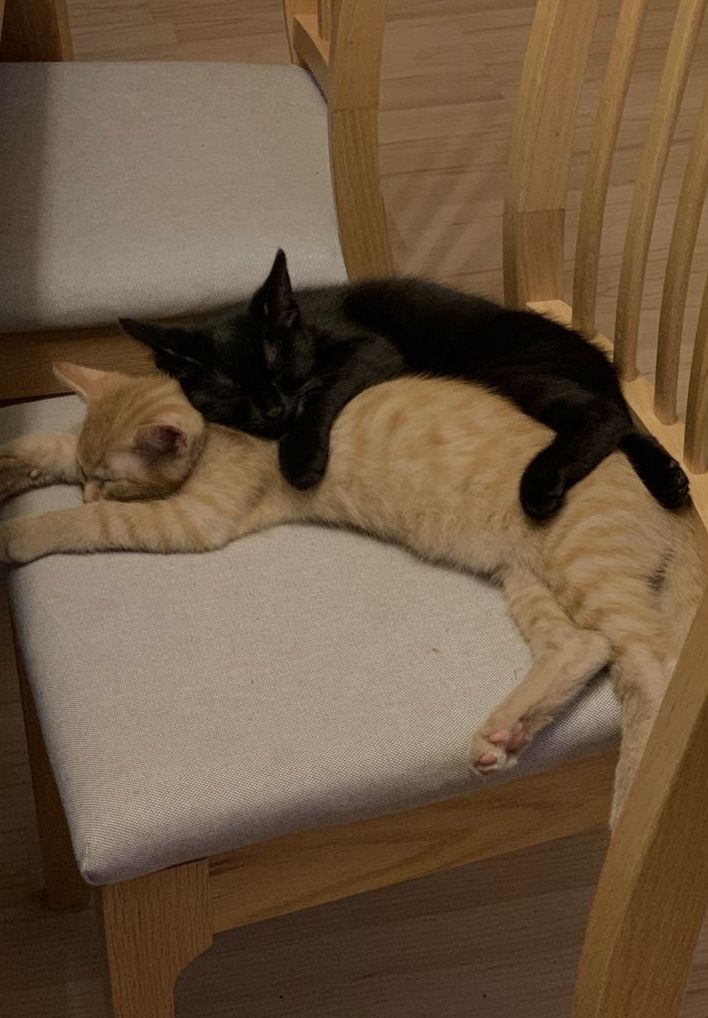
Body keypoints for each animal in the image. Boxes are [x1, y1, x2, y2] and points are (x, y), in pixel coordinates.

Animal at [0, 362, 704, 822]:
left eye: (113, 484)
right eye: (88, 474)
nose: (88, 490)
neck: (230, 425)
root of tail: (681, 509)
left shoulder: (195, 519)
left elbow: (94, 526)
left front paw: (24, 531)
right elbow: (47, 443)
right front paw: (15, 465)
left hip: (586, 569)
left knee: (653, 661)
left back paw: (633, 792)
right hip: (529, 580)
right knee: (584, 646)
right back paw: (507, 732)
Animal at [120, 246, 688, 517]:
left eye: (280, 369)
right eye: (234, 392)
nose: (273, 410)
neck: (308, 326)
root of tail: (594, 351)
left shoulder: (373, 349)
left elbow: (321, 391)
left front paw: (300, 456)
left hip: (508, 368)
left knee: (604, 413)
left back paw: (540, 482)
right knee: (623, 423)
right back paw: (669, 481)